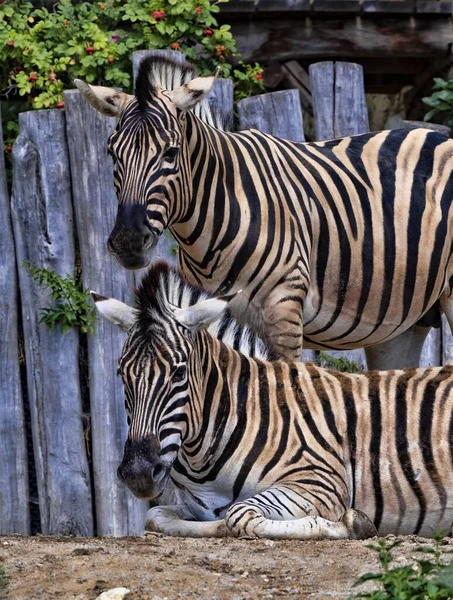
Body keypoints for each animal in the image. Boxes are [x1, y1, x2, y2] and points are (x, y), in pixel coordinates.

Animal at [76, 56, 452, 368]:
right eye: (112, 153)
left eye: (170, 153)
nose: (127, 241)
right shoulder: (201, 308)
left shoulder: (284, 307)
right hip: (401, 324)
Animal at [92, 262, 452, 540]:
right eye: (122, 374)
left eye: (178, 374)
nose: (138, 473)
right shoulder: (196, 504)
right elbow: (156, 518)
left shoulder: (320, 479)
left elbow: (240, 515)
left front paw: (350, 524)